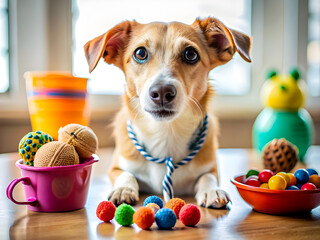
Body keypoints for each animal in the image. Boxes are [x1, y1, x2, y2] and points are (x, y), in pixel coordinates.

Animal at [84, 16, 252, 208]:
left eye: (191, 54)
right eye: (140, 53)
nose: (162, 91)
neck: (166, 132)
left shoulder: (212, 168)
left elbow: (208, 177)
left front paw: (212, 190)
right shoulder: (116, 168)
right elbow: (125, 174)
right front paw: (123, 189)